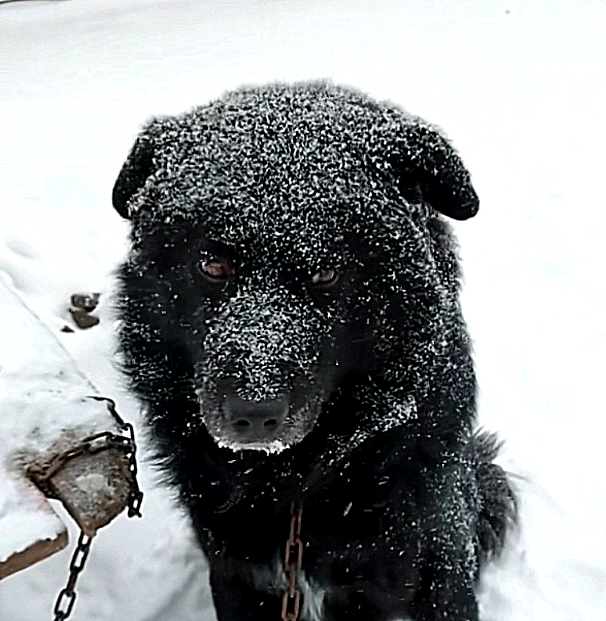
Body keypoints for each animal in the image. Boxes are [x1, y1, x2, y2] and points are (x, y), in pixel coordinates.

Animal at [111, 83, 516, 620]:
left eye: (326, 273)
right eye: (212, 265)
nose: (253, 416)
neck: (293, 485)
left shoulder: (381, 582)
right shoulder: (238, 573)